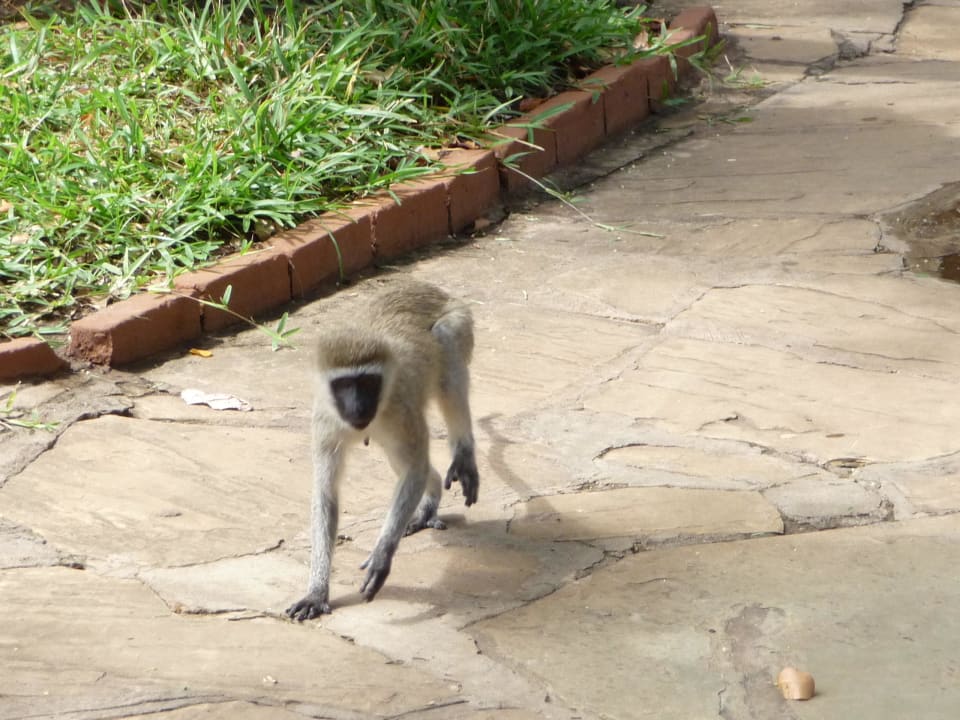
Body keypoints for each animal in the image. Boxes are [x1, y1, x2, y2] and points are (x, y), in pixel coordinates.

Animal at [286, 279, 479, 621]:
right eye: (344, 386)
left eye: (366, 383)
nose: (359, 407)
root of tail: (431, 288)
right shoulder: (324, 421)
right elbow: (326, 494)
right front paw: (317, 591)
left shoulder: (401, 410)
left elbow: (413, 470)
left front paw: (381, 554)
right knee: (407, 463)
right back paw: (428, 504)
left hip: (460, 322)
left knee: (446, 350)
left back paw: (463, 453)